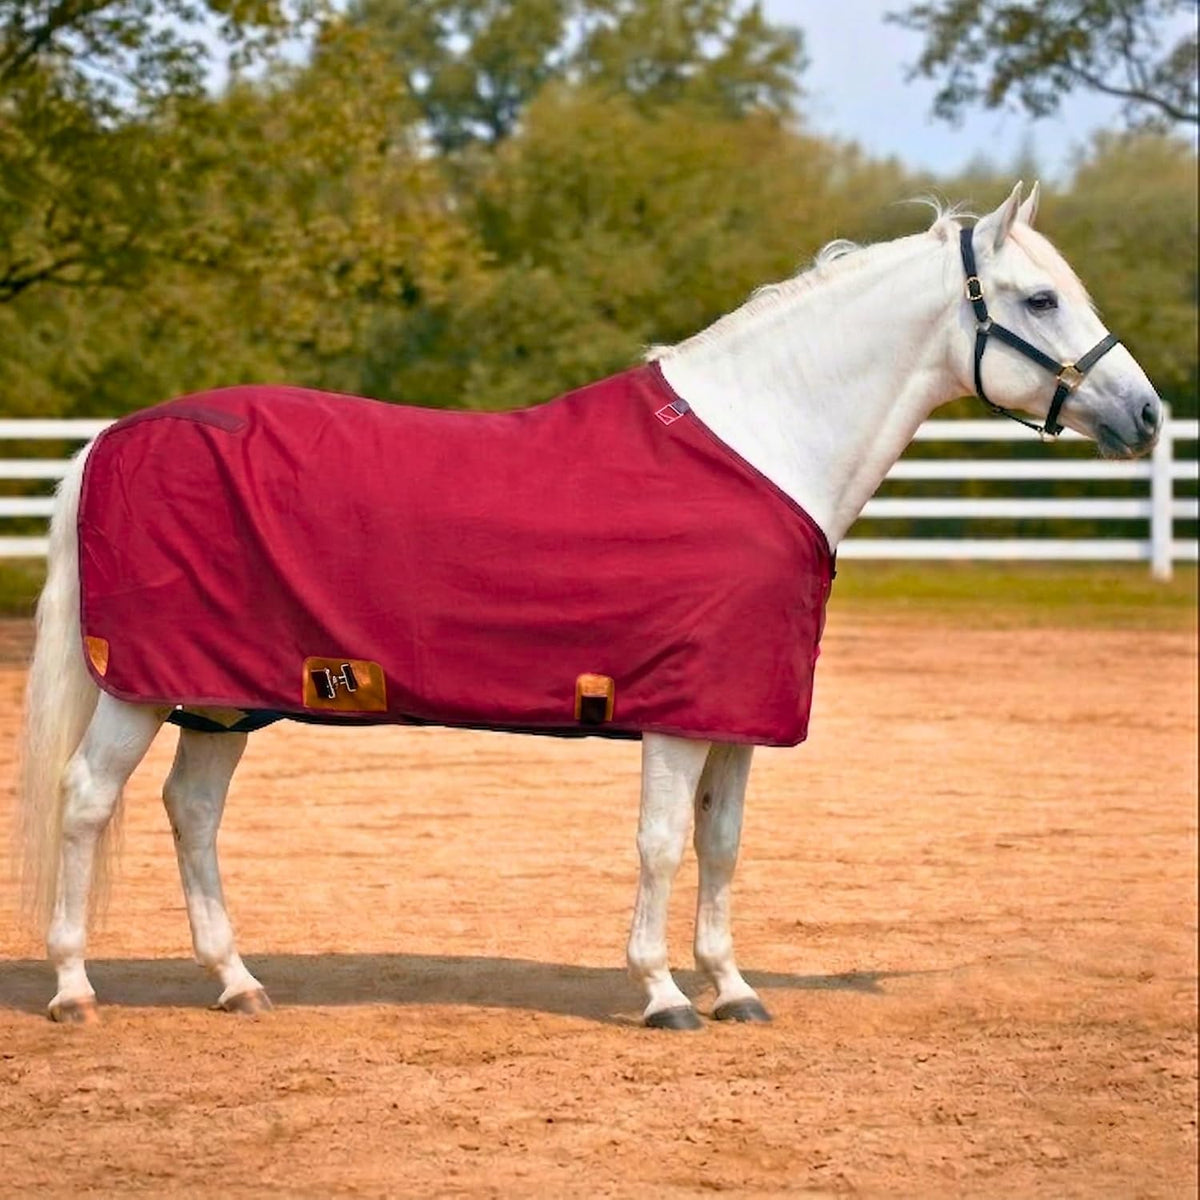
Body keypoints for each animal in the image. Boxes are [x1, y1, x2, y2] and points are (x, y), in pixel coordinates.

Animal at [16, 183, 1162, 1030]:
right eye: (1041, 300)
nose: (1147, 414)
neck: (762, 443)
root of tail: (113, 436)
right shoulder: (675, 713)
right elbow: (660, 844)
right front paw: (662, 995)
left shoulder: (736, 712)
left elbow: (722, 844)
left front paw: (734, 989)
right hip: (141, 689)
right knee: (88, 801)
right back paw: (74, 989)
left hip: (222, 696)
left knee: (192, 812)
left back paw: (238, 983)